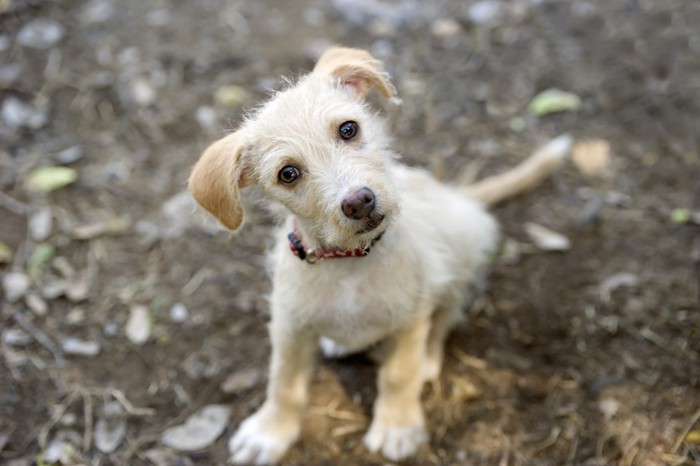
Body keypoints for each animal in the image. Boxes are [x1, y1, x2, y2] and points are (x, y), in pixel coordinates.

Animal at [189, 48, 572, 466]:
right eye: (287, 173)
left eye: (348, 129)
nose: (359, 201)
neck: (348, 263)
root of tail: (456, 195)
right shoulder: (289, 325)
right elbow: (284, 382)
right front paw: (269, 432)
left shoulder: (409, 318)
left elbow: (398, 374)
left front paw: (397, 427)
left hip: (461, 252)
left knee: (446, 315)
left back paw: (428, 358)